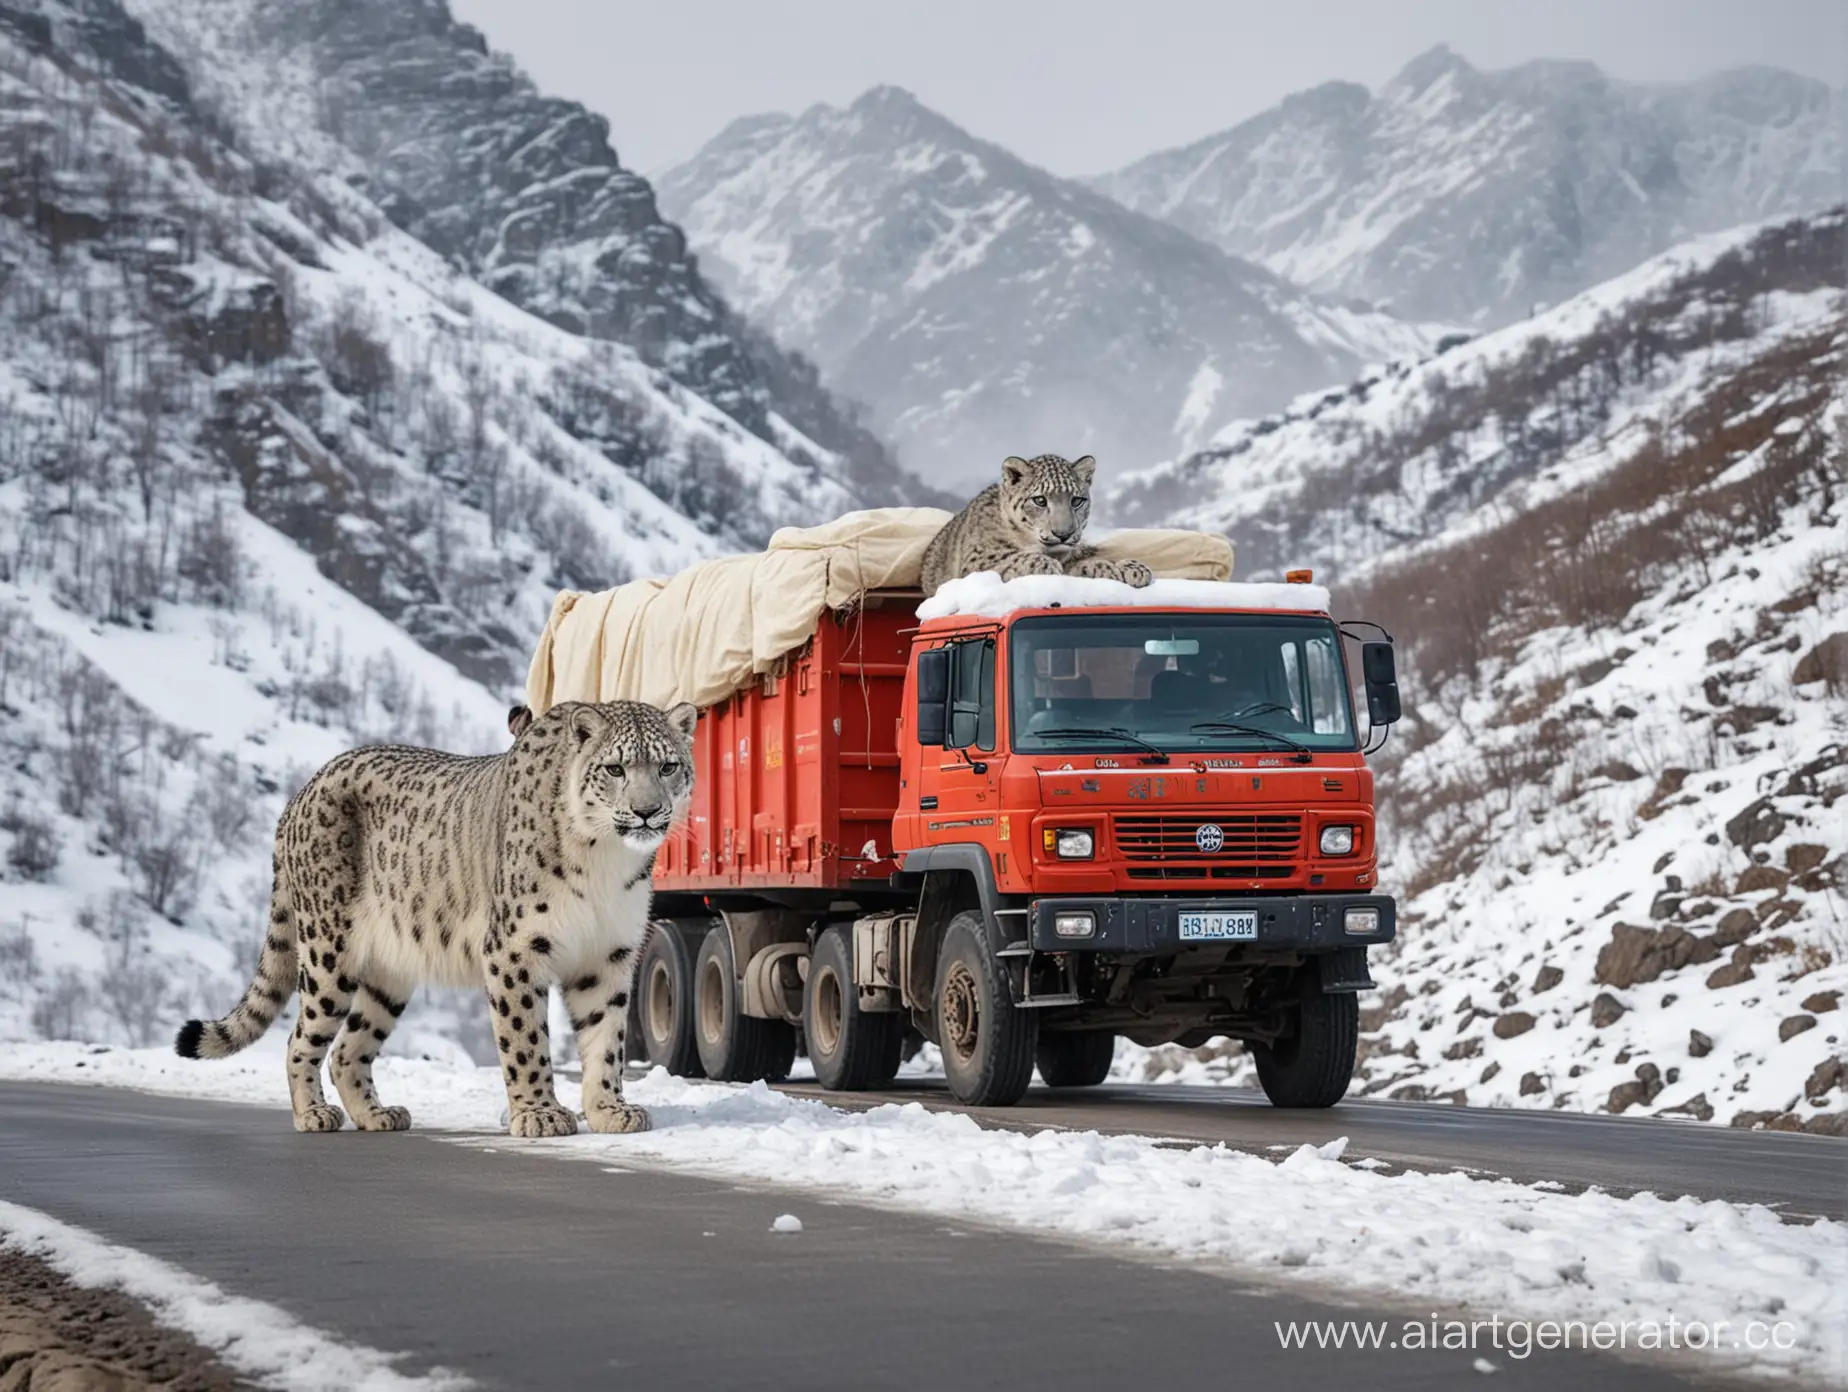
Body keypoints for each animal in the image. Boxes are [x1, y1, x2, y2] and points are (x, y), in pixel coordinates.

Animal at [176, 698, 694, 1131]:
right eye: (615, 768)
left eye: (668, 765)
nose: (647, 811)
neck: (606, 862)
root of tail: (298, 796)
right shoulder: (515, 950)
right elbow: (526, 1038)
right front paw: (540, 1115)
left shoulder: (608, 954)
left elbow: (606, 1038)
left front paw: (610, 1110)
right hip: (327, 952)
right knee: (301, 1038)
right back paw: (314, 1115)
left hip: (387, 976)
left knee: (348, 1048)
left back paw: (379, 1115)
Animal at [916, 451, 1145, 591]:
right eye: (1040, 500)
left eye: (1077, 500)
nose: (1064, 534)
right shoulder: (980, 560)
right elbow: (1019, 559)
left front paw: (1132, 568)